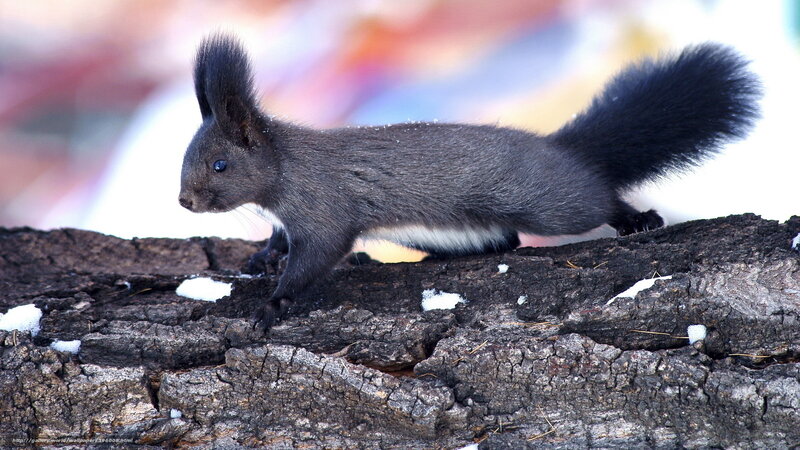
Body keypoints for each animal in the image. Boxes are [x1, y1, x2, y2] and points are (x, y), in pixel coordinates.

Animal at [179, 33, 760, 330]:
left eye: (220, 165)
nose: (184, 201)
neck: (285, 170)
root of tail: (562, 151)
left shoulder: (324, 206)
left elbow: (318, 255)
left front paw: (273, 303)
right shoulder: (291, 217)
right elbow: (281, 241)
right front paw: (261, 258)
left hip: (551, 203)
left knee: (594, 199)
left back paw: (636, 218)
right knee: (505, 240)